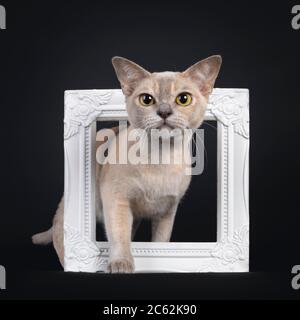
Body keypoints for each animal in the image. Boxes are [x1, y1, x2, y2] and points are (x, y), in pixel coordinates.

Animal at [32, 54, 221, 272]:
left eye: (183, 99)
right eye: (146, 99)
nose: (164, 111)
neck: (161, 158)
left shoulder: (167, 211)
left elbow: (160, 242)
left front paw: (162, 261)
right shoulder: (116, 200)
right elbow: (119, 235)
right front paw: (121, 264)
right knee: (60, 236)